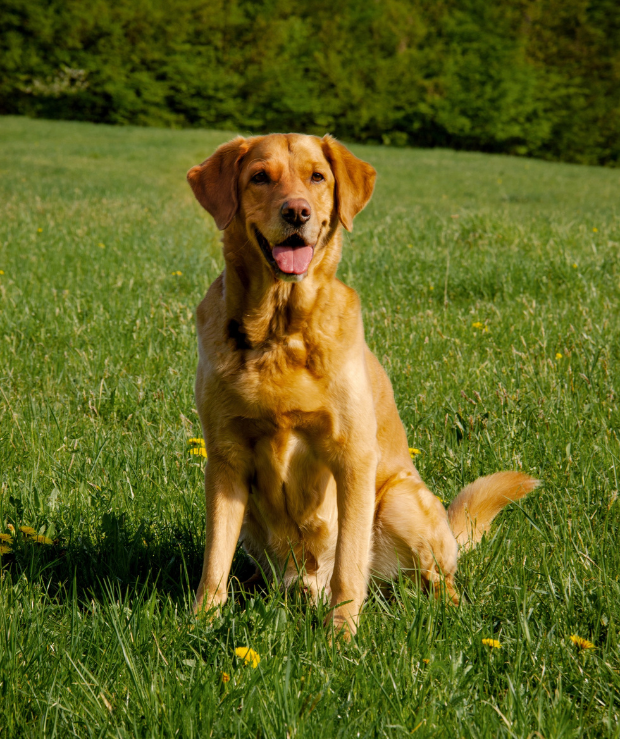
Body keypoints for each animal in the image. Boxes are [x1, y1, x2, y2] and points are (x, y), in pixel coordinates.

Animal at [185, 134, 536, 636]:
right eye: (259, 177)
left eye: (317, 176)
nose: (297, 212)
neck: (281, 331)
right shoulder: (225, 460)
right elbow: (215, 559)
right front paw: (200, 622)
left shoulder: (351, 458)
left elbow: (348, 566)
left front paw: (341, 637)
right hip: (253, 514)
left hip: (400, 501)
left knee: (435, 579)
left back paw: (447, 611)